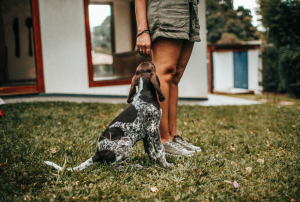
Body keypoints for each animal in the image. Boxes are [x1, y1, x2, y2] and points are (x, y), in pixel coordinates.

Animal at [45, 61, 175, 170]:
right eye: (152, 65)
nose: (151, 60)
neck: (144, 94)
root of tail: (97, 153)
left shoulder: (147, 132)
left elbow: (149, 149)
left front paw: (154, 160)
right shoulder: (153, 128)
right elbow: (160, 149)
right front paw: (166, 164)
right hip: (126, 141)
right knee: (112, 165)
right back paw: (132, 167)